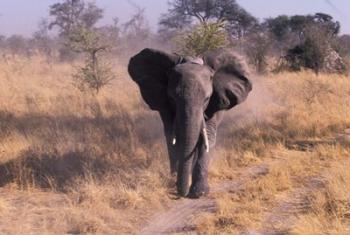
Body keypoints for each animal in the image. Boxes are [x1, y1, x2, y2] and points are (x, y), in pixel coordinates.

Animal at [128, 48, 252, 198]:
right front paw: (173, 183)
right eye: (172, 99)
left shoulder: (216, 103)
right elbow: (171, 136)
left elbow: (207, 136)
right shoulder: (164, 103)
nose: (182, 193)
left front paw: (200, 193)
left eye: (207, 99)